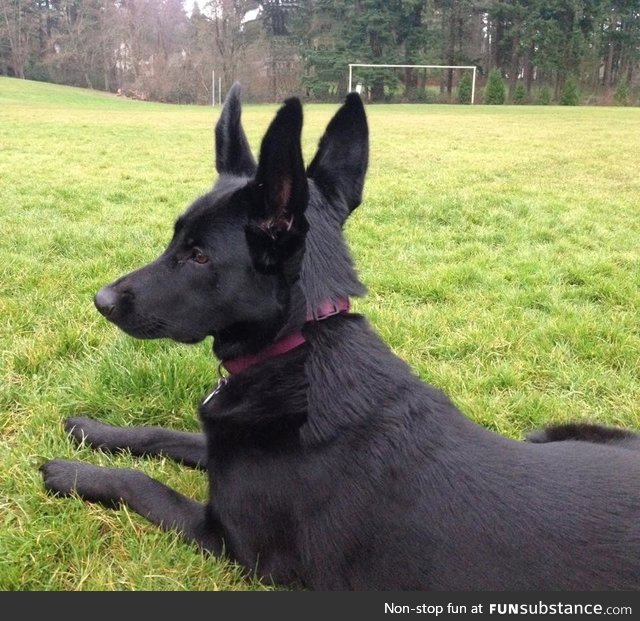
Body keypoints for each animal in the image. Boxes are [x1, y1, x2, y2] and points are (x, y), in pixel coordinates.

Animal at [42, 85, 640, 588]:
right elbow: (163, 434)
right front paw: (92, 429)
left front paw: (69, 472)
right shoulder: (220, 450)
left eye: (199, 255)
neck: (300, 347)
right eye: (175, 240)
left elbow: (142, 484)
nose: (101, 300)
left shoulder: (233, 544)